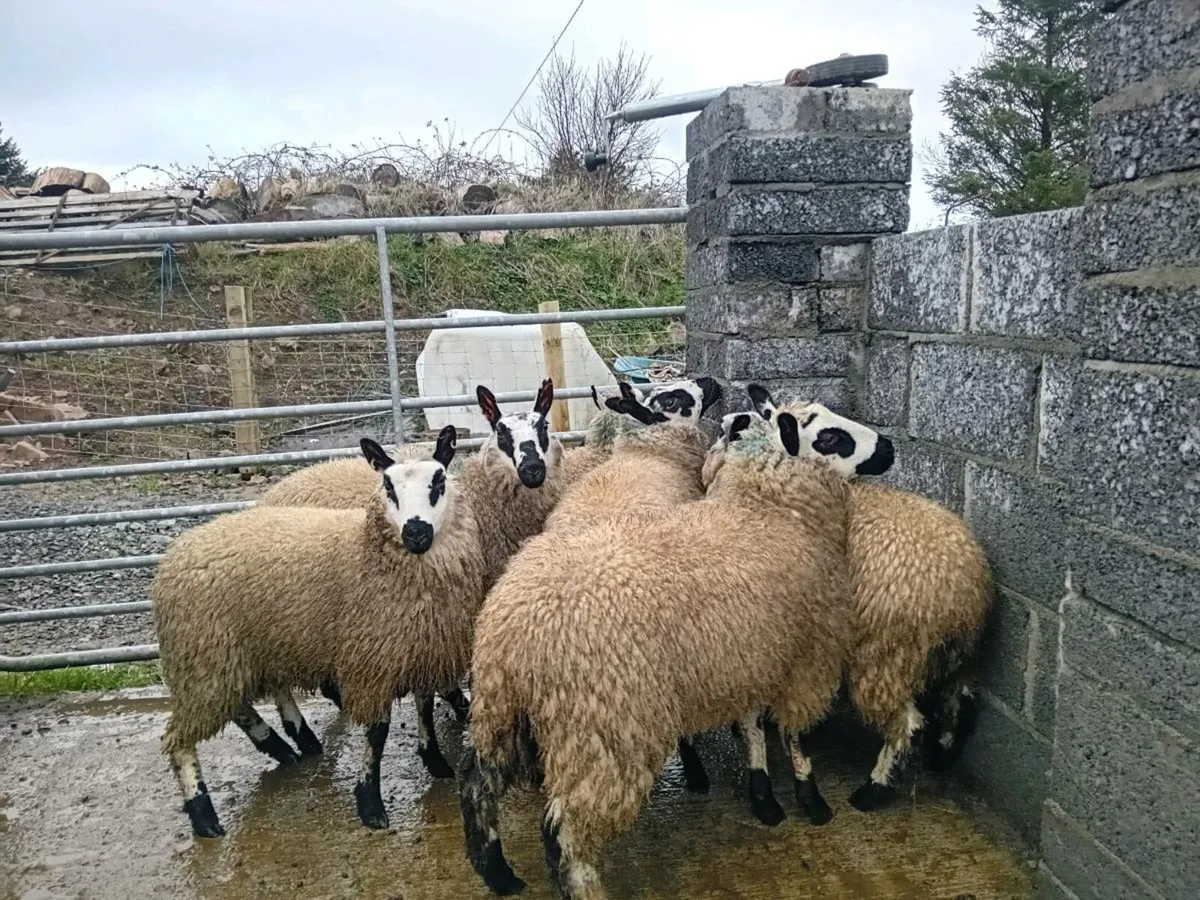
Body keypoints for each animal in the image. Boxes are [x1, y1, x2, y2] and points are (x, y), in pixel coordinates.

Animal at [151, 427, 488, 839]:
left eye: (438, 480)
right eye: (387, 486)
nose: (416, 533)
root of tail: (175, 554)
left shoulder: (420, 648)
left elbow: (424, 707)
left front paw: (435, 761)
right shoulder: (371, 662)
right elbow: (377, 732)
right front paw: (370, 803)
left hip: (240, 651)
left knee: (243, 702)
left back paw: (288, 743)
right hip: (205, 655)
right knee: (182, 737)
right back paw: (204, 813)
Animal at [457, 406, 893, 900]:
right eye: (830, 437)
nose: (889, 448)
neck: (771, 513)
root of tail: (512, 629)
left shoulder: (750, 654)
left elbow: (753, 727)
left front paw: (764, 794)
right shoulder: (808, 658)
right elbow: (794, 734)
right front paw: (812, 800)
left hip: (500, 707)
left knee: (477, 782)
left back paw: (498, 871)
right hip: (602, 728)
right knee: (565, 831)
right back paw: (583, 886)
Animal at [697, 385, 993, 818]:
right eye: (830, 436)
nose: (888, 448)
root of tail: (964, 587)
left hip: (886, 655)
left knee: (908, 723)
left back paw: (873, 790)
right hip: (953, 653)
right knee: (961, 697)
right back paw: (942, 756)